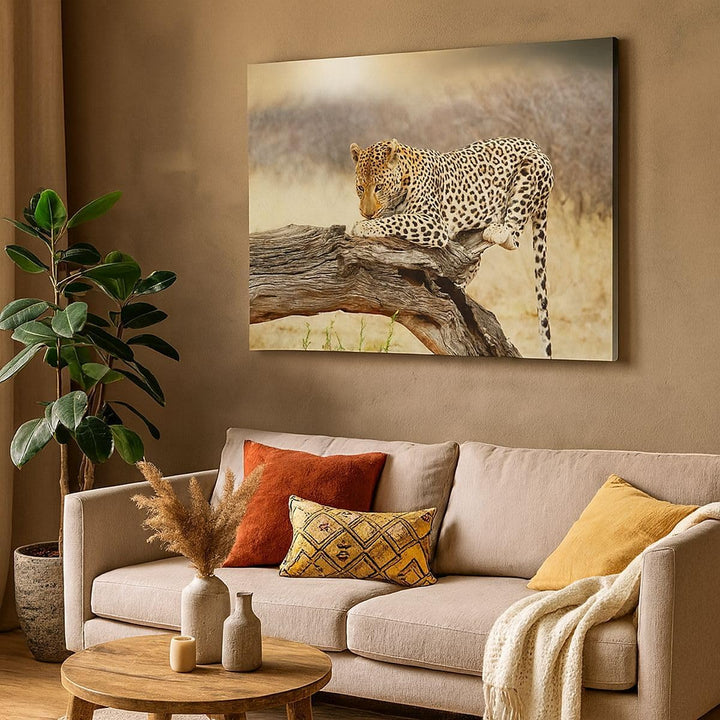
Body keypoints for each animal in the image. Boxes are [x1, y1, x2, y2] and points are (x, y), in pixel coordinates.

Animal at [350, 137, 554, 358]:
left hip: (533, 168)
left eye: (378, 187)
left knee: (513, 234)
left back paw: (497, 229)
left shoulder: (434, 223)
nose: (367, 213)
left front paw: (363, 226)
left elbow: (398, 220)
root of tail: (534, 144)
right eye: (360, 188)